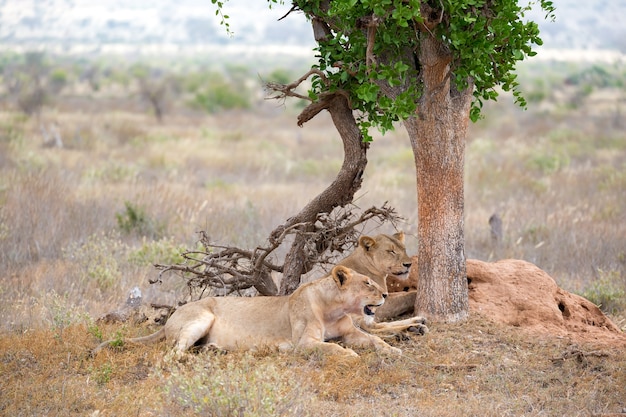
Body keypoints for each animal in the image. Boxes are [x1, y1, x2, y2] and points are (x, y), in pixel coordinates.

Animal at [92, 264, 400, 356]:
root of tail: (172, 316)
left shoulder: (350, 331)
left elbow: (374, 339)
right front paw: (350, 355)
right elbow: (333, 347)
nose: (386, 294)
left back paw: (213, 349)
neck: (333, 309)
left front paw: (393, 350)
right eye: (368, 283)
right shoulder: (303, 342)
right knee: (174, 353)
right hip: (202, 316)